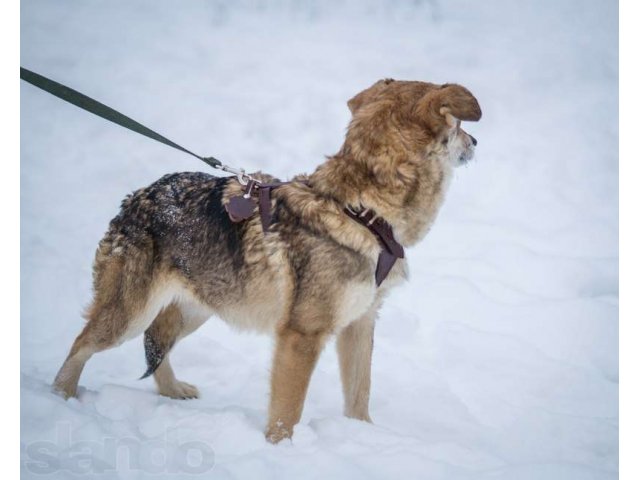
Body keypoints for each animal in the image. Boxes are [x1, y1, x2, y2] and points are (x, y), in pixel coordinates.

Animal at [53, 79, 480, 442]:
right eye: (458, 123)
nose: (475, 140)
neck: (362, 212)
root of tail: (136, 197)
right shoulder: (301, 336)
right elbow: (287, 411)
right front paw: (281, 450)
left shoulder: (360, 324)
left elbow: (360, 396)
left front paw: (365, 439)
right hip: (129, 316)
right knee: (81, 344)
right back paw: (61, 397)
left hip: (199, 309)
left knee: (157, 343)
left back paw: (173, 391)